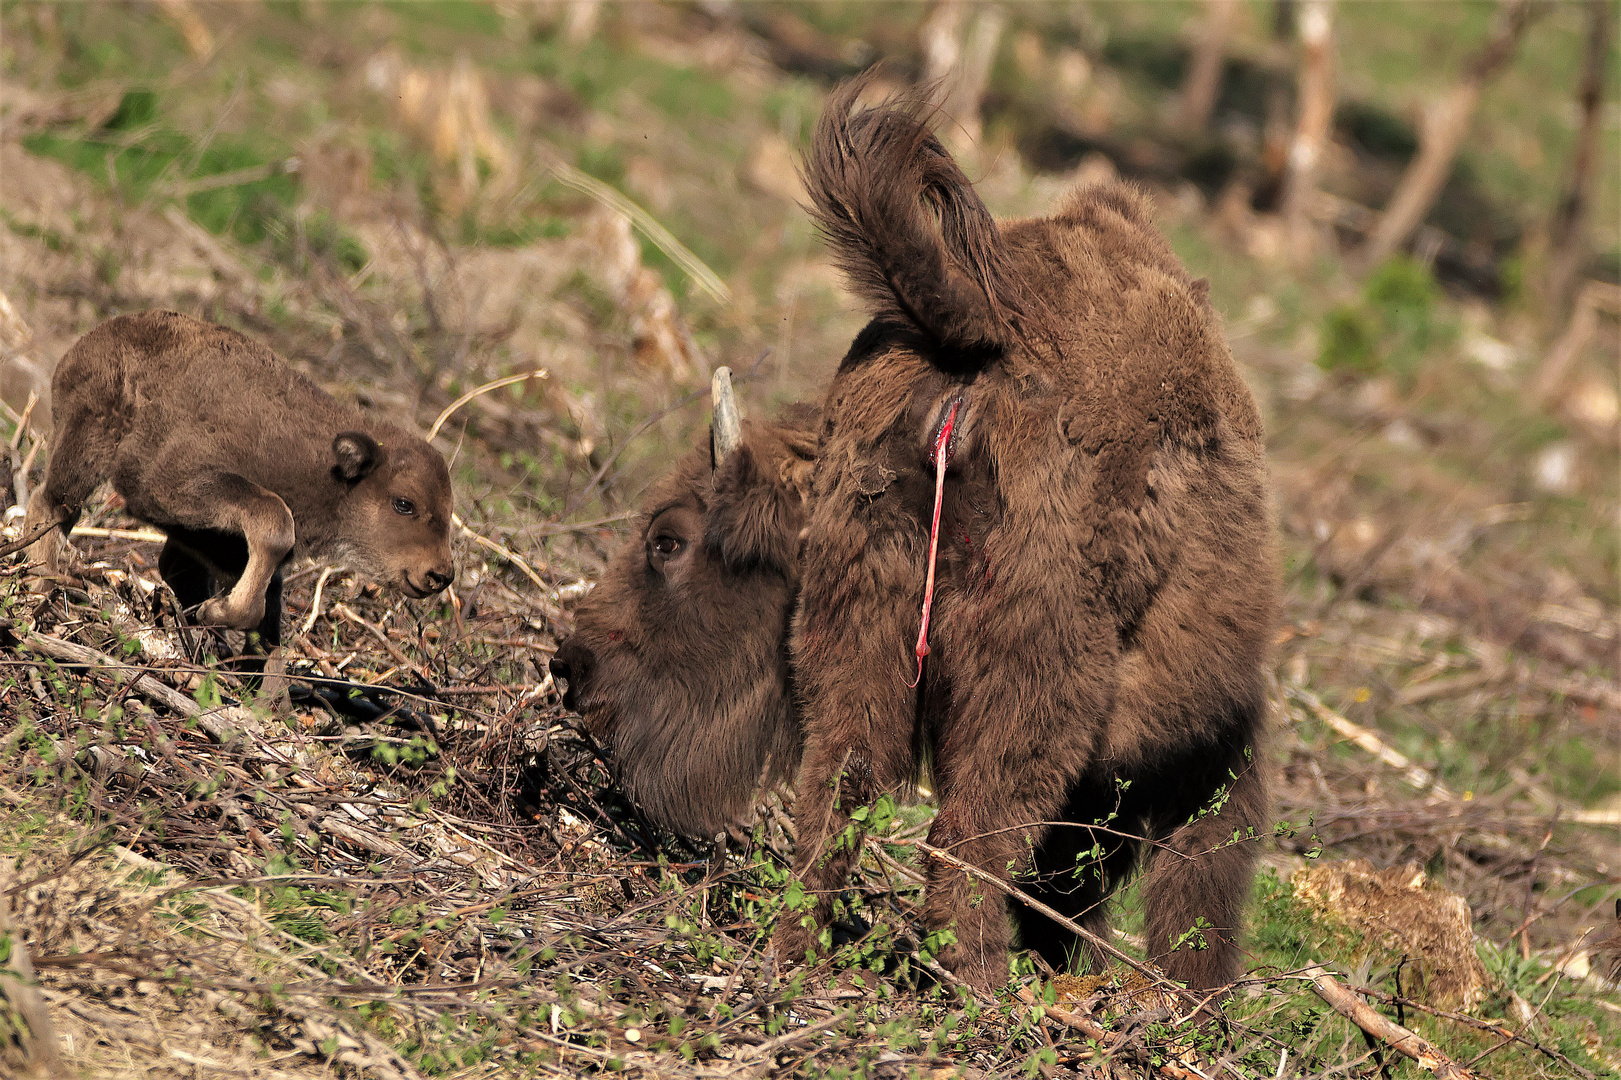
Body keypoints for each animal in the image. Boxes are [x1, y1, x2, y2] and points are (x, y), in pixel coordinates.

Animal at [22, 311, 457, 642]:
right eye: (404, 503)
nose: (440, 574)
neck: (324, 465)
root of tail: (92, 338)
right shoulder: (173, 484)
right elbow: (274, 523)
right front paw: (218, 612)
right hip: (86, 447)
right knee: (52, 506)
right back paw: (38, 589)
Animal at [557, 81, 1277, 992]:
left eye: (667, 539)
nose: (571, 666)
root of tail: (970, 342)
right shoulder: (1210, 748)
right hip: (1033, 673)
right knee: (970, 833)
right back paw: (975, 988)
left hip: (865, 625)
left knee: (842, 791)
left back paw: (798, 956)